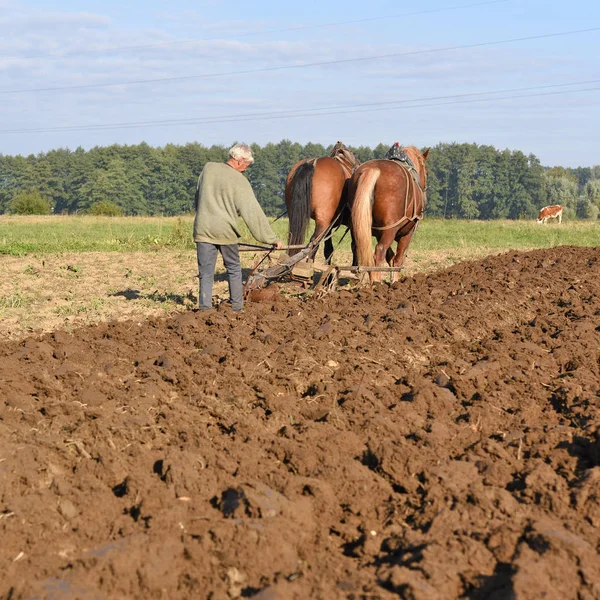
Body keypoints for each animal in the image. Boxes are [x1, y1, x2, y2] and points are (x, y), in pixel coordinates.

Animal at [350, 144, 428, 284]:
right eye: (427, 172)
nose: (425, 193)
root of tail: (373, 169)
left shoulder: (379, 232)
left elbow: (390, 256)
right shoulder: (407, 232)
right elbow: (397, 259)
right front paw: (395, 281)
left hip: (358, 227)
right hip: (391, 229)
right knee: (379, 252)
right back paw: (376, 282)